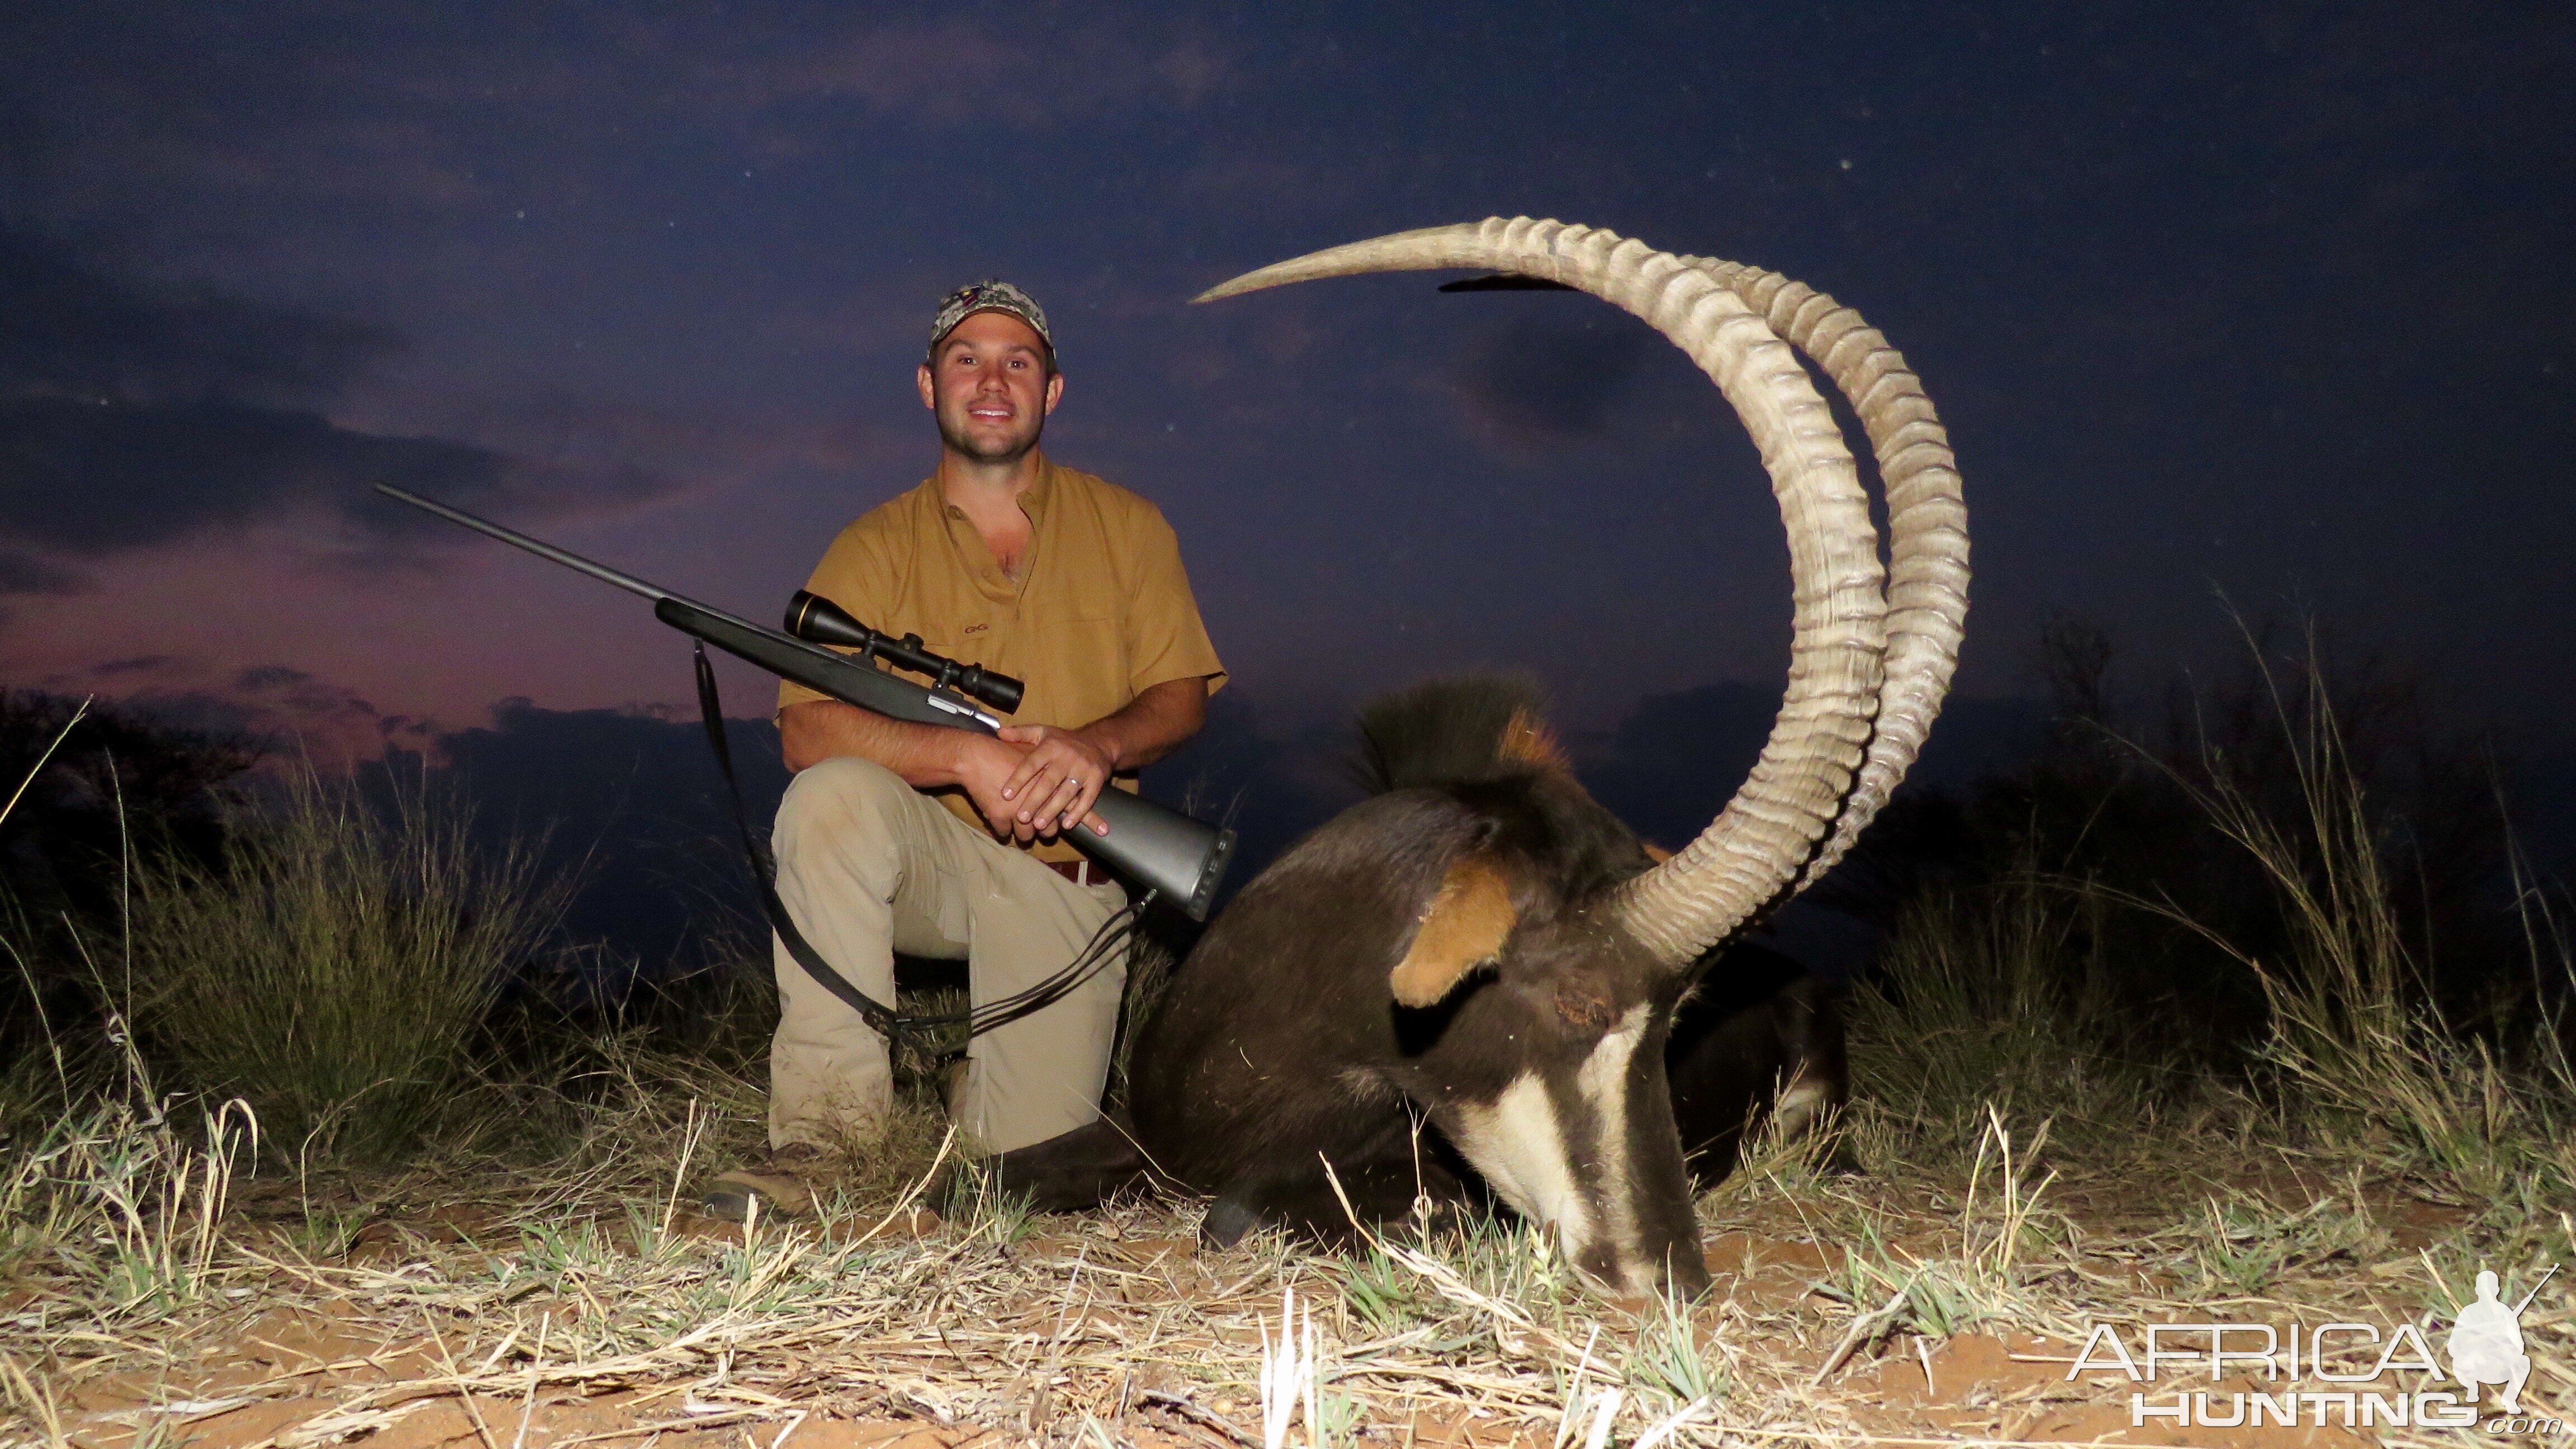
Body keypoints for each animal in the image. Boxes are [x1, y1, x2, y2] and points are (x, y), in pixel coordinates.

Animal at [994, 220, 1958, 1289]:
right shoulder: (1141, 1135)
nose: (1665, 1274)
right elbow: (981, 1173)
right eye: (1579, 999)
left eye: (1678, 1019)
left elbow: (1234, 1214)